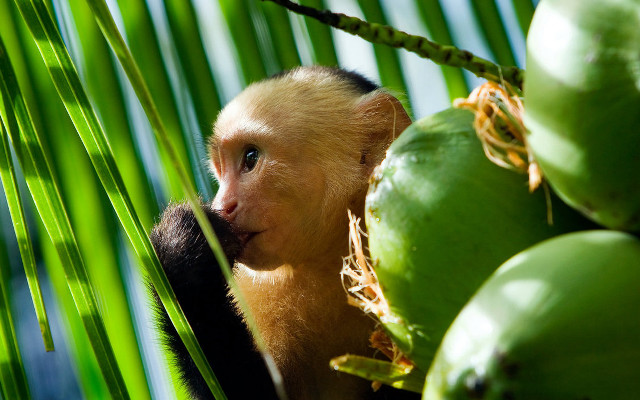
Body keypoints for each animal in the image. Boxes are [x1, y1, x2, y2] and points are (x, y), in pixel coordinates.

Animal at [150, 66, 417, 399]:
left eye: (251, 158)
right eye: (220, 171)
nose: (223, 206)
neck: (327, 263)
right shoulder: (256, 290)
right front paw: (182, 251)